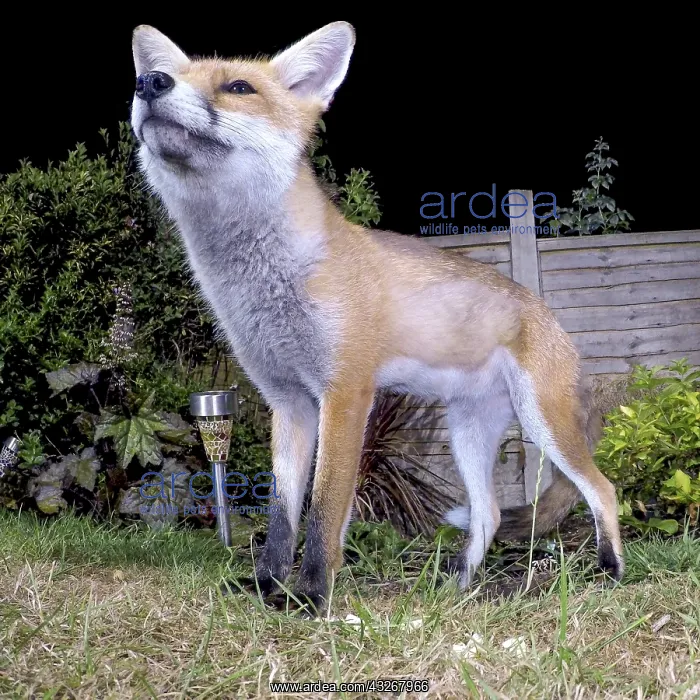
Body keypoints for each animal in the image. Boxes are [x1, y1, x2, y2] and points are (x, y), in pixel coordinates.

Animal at [129, 21, 624, 613]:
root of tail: (551, 317)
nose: (149, 83)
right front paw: (267, 588)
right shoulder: (288, 401)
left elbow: (323, 512)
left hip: (542, 425)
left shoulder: (346, 393)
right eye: (170, 74)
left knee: (603, 491)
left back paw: (612, 573)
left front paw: (310, 598)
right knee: (487, 514)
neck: (265, 284)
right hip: (467, 432)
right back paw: (456, 590)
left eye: (239, 87)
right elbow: (282, 516)